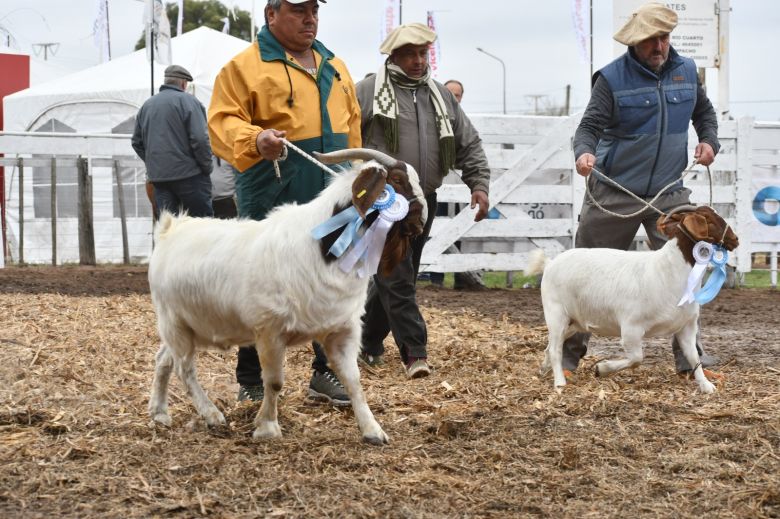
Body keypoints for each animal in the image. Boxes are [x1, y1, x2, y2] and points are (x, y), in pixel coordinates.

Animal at [146, 148, 426, 444]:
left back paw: (160, 412)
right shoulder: (270, 330)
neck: (321, 248)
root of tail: (169, 229)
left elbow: (354, 380)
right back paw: (211, 414)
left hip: (190, 326)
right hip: (174, 322)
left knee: (163, 359)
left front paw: (372, 430)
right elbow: (274, 381)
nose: (421, 222)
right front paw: (267, 426)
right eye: (397, 180)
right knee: (184, 368)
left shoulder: (342, 329)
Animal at [524, 205, 736, 392]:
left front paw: (706, 385)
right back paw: (559, 383)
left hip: (573, 322)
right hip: (556, 313)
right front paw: (602, 369)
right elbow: (636, 359)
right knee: (555, 349)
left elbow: (693, 356)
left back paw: (544, 370)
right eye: (709, 220)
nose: (736, 239)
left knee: (550, 347)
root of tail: (549, 263)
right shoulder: (631, 327)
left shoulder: (686, 326)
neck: (668, 270)